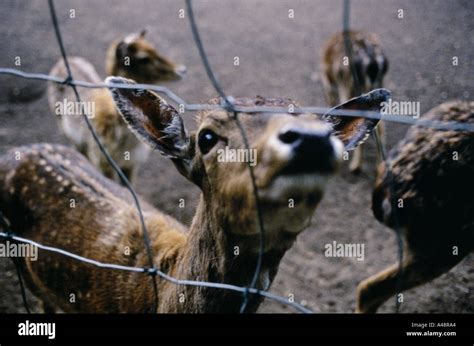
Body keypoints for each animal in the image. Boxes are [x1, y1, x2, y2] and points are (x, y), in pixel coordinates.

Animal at [47, 30, 185, 184]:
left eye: (154, 48)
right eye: (143, 58)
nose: (181, 70)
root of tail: (62, 61)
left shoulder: (132, 164)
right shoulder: (104, 161)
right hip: (62, 125)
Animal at [318, 30, 388, 173]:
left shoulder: (328, 84)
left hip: (347, 84)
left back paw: (355, 166)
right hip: (377, 85)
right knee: (381, 125)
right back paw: (380, 168)